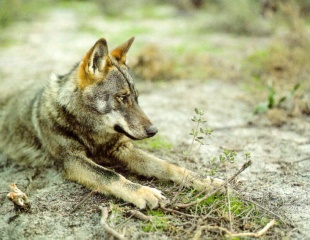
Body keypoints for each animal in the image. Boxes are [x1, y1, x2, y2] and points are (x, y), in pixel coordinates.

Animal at [0, 36, 223, 209]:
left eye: (136, 97)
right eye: (122, 97)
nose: (154, 131)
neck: (93, 133)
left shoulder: (122, 148)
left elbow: (169, 166)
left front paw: (204, 180)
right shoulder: (72, 160)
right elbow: (110, 175)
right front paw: (144, 192)